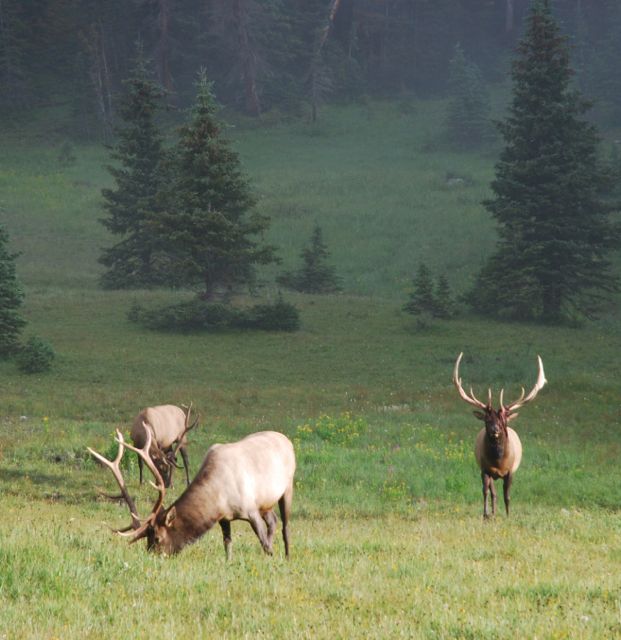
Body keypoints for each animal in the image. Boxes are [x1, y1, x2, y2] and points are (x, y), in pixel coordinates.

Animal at [88, 430, 298, 560]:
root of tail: (287, 440)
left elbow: (264, 543)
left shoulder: (250, 508)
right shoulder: (225, 517)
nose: (150, 558)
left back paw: (288, 557)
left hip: (287, 487)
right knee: (273, 520)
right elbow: (228, 545)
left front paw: (271, 559)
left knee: (285, 526)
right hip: (266, 503)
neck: (217, 497)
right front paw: (229, 563)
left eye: (157, 538)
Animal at [450, 352, 548, 516]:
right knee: (493, 493)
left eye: (503, 421)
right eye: (487, 420)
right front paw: (485, 515)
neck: (498, 462)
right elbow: (486, 492)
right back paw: (493, 514)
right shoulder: (484, 469)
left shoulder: (510, 472)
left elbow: (507, 496)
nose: (495, 430)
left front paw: (509, 515)